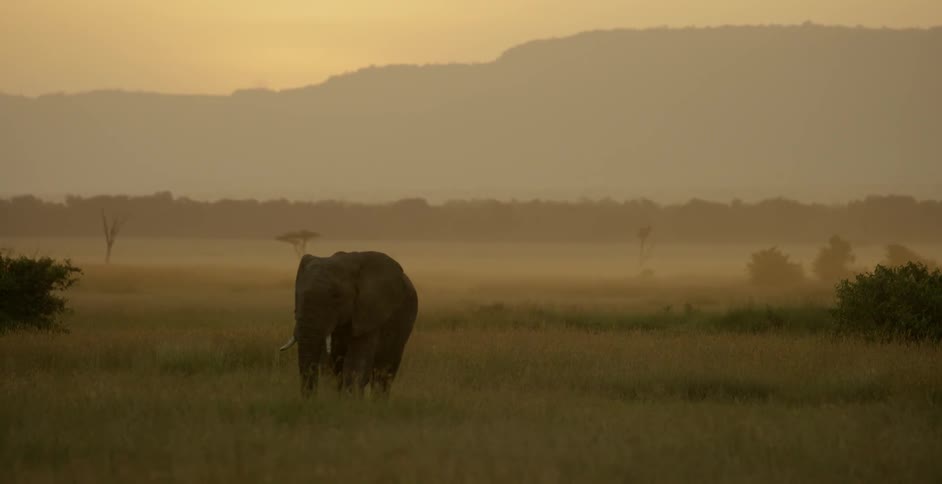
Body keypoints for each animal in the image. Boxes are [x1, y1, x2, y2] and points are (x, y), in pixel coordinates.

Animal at [279, 251, 418, 398]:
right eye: (297, 295)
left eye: (336, 296)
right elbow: (330, 365)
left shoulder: (369, 314)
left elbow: (355, 366)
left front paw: (349, 401)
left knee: (384, 372)